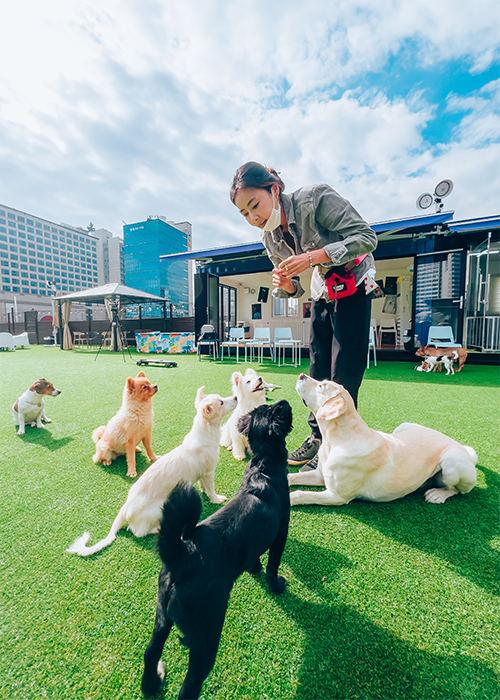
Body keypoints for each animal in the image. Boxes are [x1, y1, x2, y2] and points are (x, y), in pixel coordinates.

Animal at [67, 386, 237, 556]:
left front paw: (204, 492)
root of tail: (125, 509)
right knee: (138, 531)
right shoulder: (209, 473)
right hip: (160, 509)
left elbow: (204, 486)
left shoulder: (202, 473)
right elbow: (211, 490)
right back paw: (157, 529)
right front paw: (217, 499)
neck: (205, 435)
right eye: (221, 402)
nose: (236, 397)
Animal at [141, 400, 292, 700]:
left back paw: (151, 684)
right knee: (190, 684)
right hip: (207, 630)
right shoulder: (281, 531)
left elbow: (255, 557)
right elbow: (273, 564)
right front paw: (275, 584)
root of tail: (183, 556)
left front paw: (254, 569)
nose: (284, 401)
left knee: (150, 652)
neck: (264, 467)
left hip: (162, 616)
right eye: (274, 408)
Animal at [288, 374, 478, 506]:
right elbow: (289, 476)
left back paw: (438, 494)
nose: (301, 374)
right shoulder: (320, 476)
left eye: (321, 386)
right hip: (403, 426)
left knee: (456, 490)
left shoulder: (337, 496)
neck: (335, 442)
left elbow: (299, 493)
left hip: (452, 461)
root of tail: (461, 447)